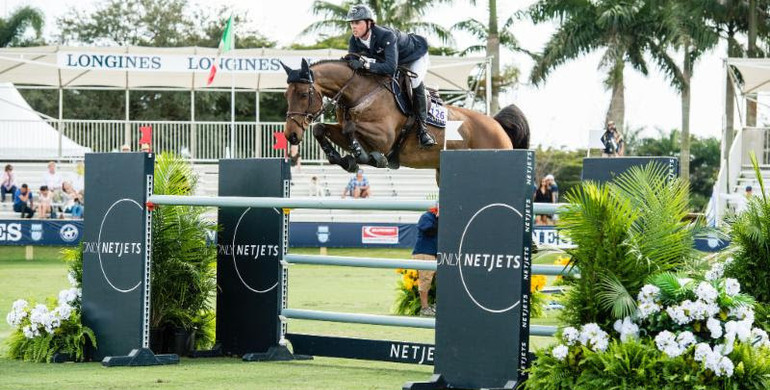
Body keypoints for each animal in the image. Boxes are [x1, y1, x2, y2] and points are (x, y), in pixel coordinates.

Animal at [282, 57, 528, 175]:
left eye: (303, 94)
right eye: (286, 95)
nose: (291, 135)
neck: (360, 93)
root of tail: (497, 125)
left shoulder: (385, 138)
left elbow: (351, 129)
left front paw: (366, 157)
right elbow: (321, 129)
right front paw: (343, 159)